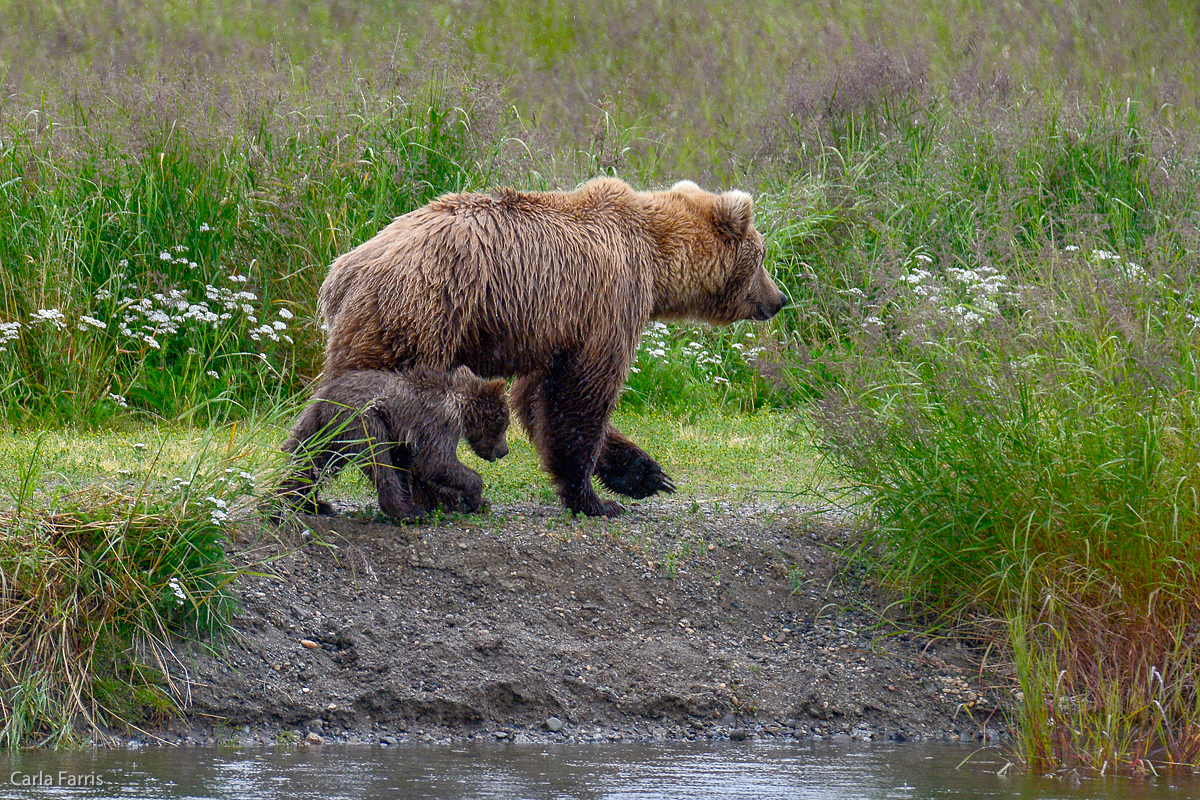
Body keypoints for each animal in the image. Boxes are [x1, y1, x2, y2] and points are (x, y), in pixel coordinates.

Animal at [278, 367, 508, 522]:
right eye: (503, 425)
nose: (504, 451)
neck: (459, 402)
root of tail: (327, 397)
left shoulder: (403, 438)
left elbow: (404, 465)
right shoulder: (439, 422)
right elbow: (437, 462)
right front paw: (479, 500)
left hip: (320, 426)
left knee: (307, 458)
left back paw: (305, 501)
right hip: (364, 422)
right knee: (378, 462)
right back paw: (408, 513)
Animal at [319, 177, 787, 515]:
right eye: (762, 256)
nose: (780, 299)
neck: (657, 260)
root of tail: (343, 270)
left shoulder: (550, 330)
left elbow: (537, 398)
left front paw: (646, 474)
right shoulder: (608, 305)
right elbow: (582, 397)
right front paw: (595, 499)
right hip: (421, 315)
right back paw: (440, 496)